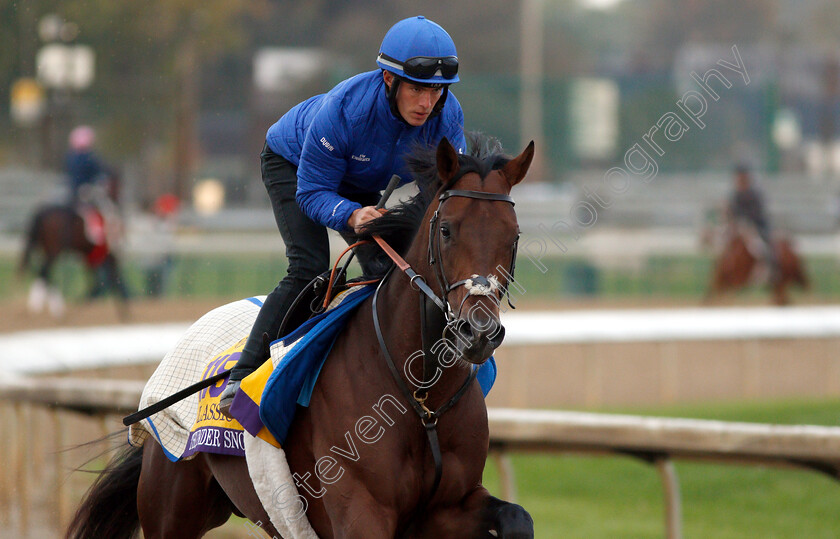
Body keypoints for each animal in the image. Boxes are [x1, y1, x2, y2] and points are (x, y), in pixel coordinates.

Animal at [69, 136, 536, 539]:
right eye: (446, 230)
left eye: (513, 235)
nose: (478, 332)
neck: (421, 395)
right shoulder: (360, 511)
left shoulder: (448, 508)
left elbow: (517, 517)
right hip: (173, 504)